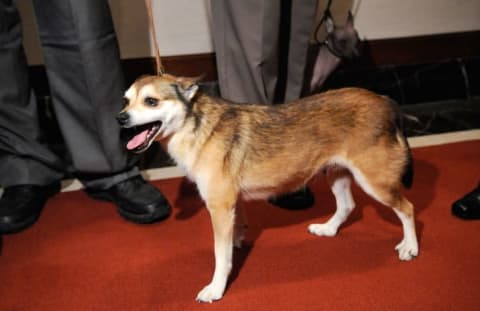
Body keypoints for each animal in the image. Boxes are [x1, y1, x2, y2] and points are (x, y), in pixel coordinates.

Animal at [116, 74, 416, 304]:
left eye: (151, 101)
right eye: (126, 100)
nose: (120, 118)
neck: (196, 126)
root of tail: (386, 101)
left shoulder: (219, 207)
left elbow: (220, 255)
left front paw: (216, 288)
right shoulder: (232, 204)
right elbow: (236, 233)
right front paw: (237, 243)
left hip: (375, 182)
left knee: (408, 209)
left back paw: (410, 247)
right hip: (337, 173)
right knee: (348, 206)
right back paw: (328, 229)